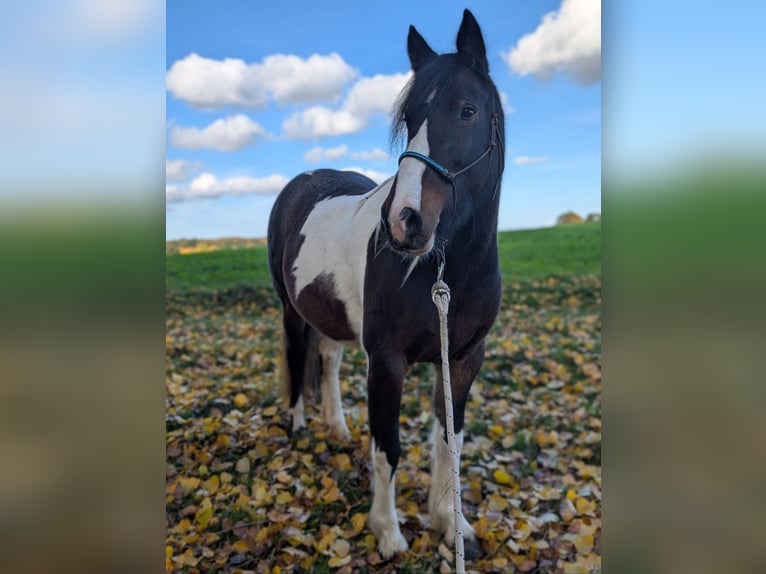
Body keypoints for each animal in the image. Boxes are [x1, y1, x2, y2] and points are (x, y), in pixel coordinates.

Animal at [267, 9, 505, 559]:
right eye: (408, 121)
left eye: (467, 110)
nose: (403, 222)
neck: (446, 272)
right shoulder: (388, 361)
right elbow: (388, 446)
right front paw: (388, 533)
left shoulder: (463, 359)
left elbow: (449, 439)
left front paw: (449, 523)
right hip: (291, 310)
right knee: (297, 356)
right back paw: (299, 425)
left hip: (332, 315)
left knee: (328, 360)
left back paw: (336, 426)